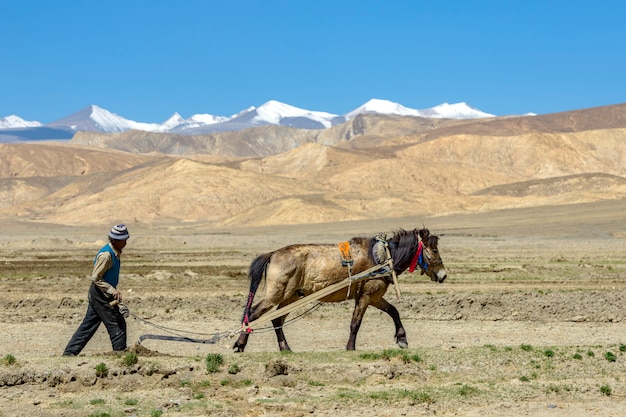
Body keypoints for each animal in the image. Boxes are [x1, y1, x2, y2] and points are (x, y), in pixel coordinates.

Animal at [233, 228, 444, 352]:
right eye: (434, 250)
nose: (443, 275)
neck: (382, 257)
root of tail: (273, 254)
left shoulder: (374, 297)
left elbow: (394, 311)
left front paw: (402, 339)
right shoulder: (366, 296)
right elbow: (355, 323)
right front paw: (350, 347)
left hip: (291, 297)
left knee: (277, 320)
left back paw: (285, 348)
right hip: (277, 294)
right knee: (253, 313)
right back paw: (240, 345)